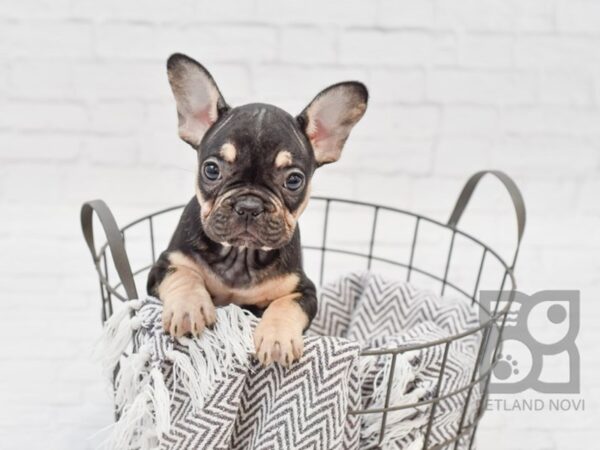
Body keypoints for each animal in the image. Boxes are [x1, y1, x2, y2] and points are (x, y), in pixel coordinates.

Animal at [148, 54, 368, 368]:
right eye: (211, 170)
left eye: (294, 180)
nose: (249, 206)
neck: (240, 255)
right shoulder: (163, 264)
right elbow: (184, 275)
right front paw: (189, 308)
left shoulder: (303, 290)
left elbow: (285, 304)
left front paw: (277, 338)